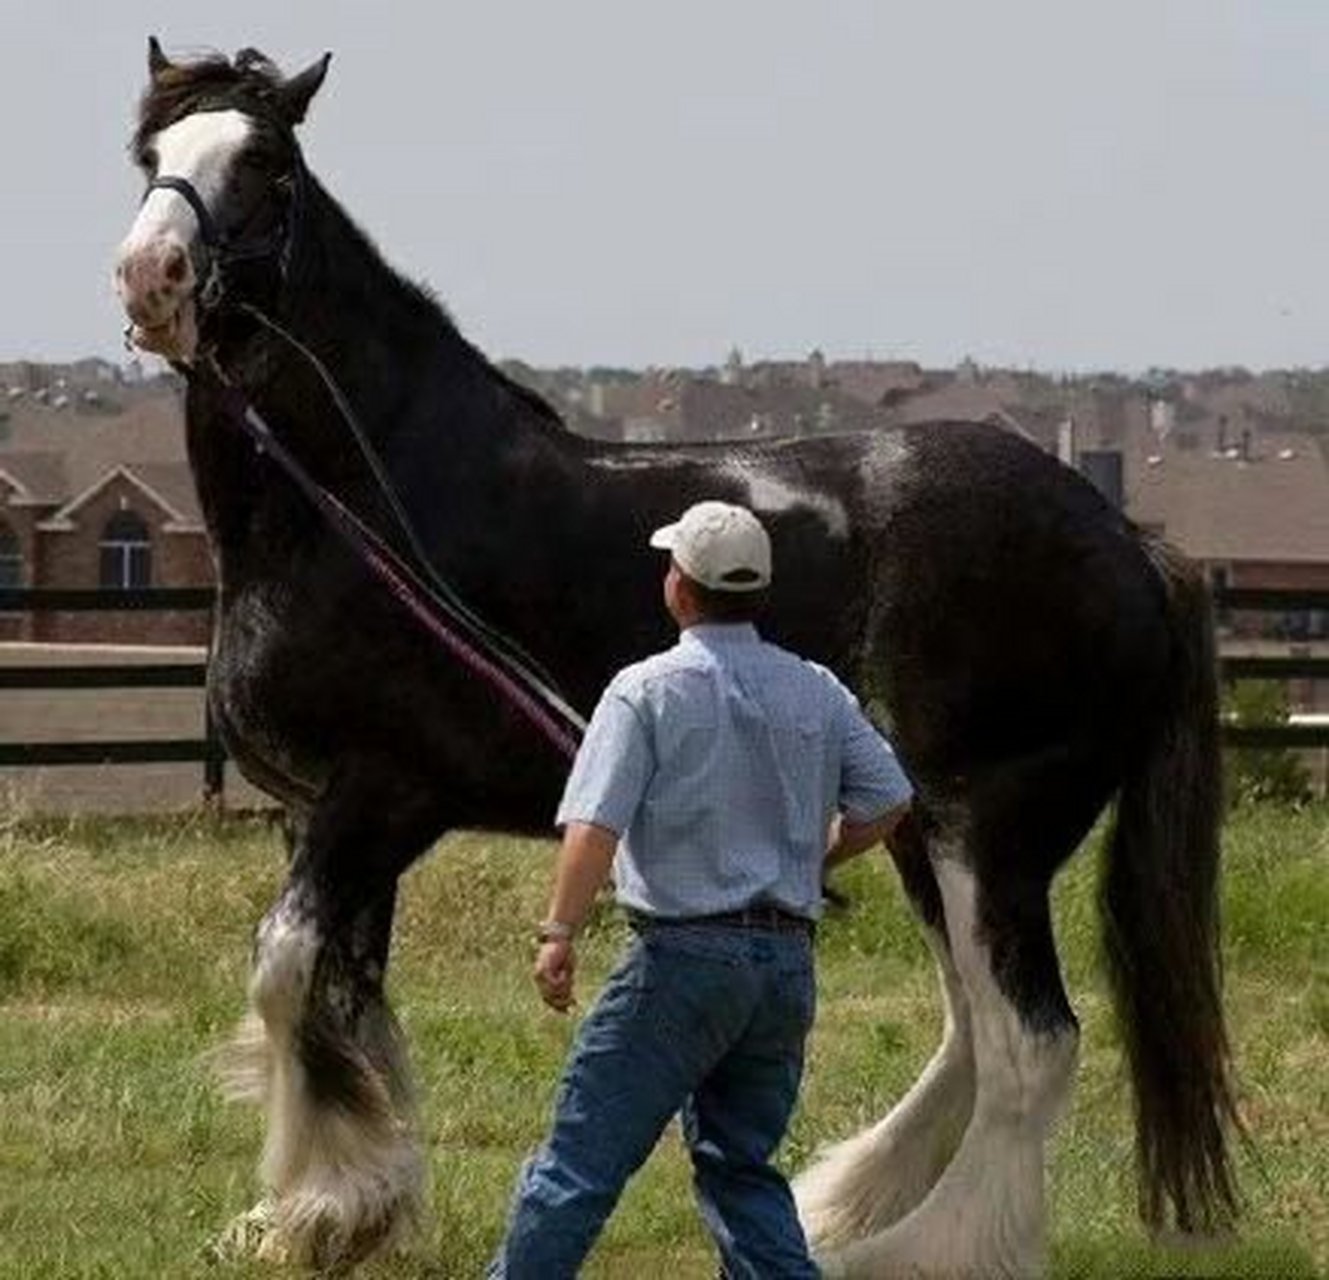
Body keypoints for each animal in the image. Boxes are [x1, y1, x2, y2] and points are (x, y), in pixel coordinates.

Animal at [119, 42, 1238, 1280]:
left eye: (266, 162)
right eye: (150, 154)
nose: (152, 276)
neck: (367, 490)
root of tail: (1131, 545)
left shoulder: (378, 796)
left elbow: (284, 973)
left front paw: (316, 1213)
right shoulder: (331, 814)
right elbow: (345, 996)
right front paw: (338, 1205)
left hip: (986, 829)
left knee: (1030, 1046)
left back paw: (921, 1247)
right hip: (923, 833)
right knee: (970, 1033)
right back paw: (846, 1199)